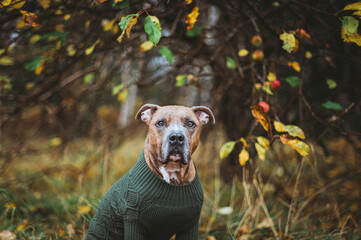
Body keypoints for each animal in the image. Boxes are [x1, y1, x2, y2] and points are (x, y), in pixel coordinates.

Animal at [85, 103, 214, 240]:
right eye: (160, 123)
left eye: (190, 124)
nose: (176, 137)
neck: (172, 171)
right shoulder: (134, 222)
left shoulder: (190, 224)